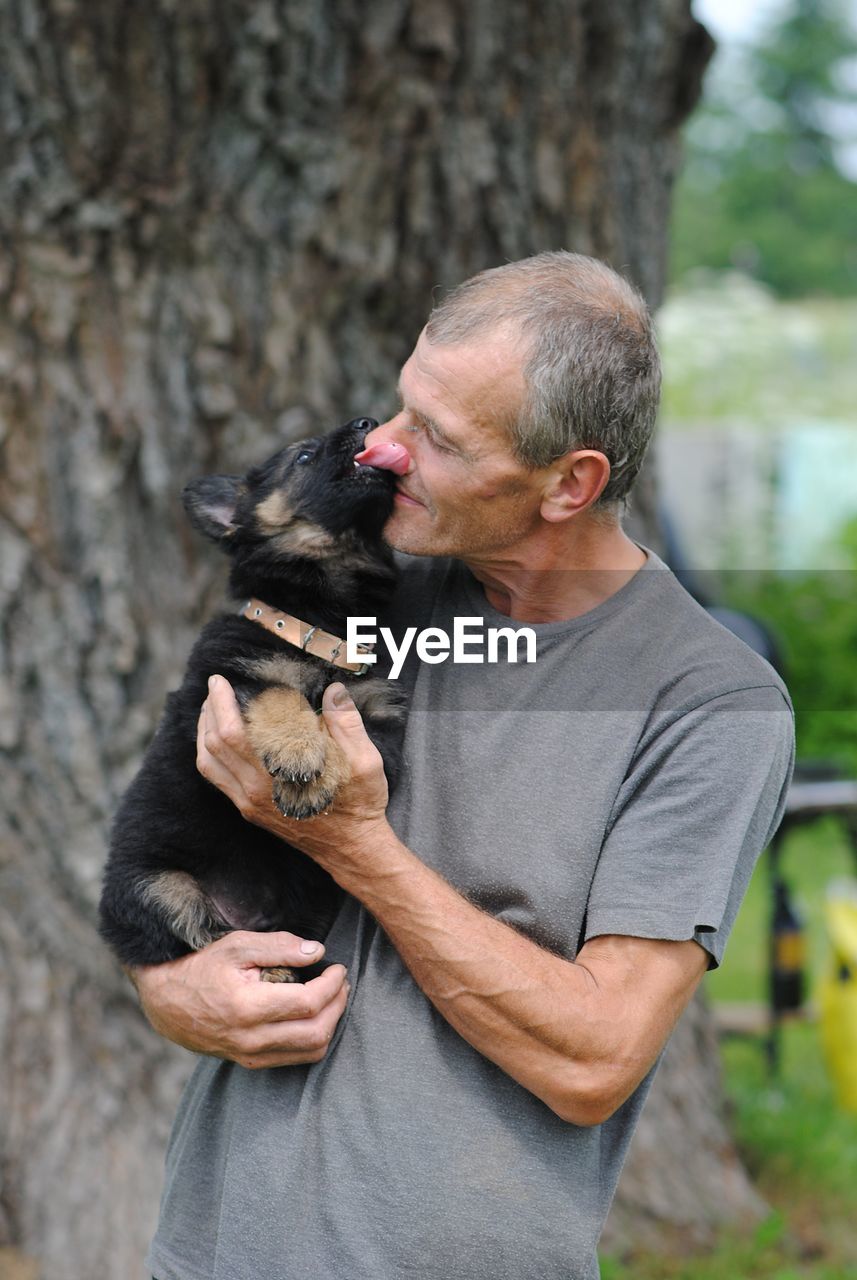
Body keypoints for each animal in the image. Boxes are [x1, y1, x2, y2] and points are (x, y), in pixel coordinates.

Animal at [99, 417, 406, 977]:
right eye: (303, 457)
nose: (367, 423)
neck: (322, 624)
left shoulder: (378, 718)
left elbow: (345, 731)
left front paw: (317, 773)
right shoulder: (226, 680)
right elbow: (279, 694)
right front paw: (299, 755)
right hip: (159, 887)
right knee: (208, 937)